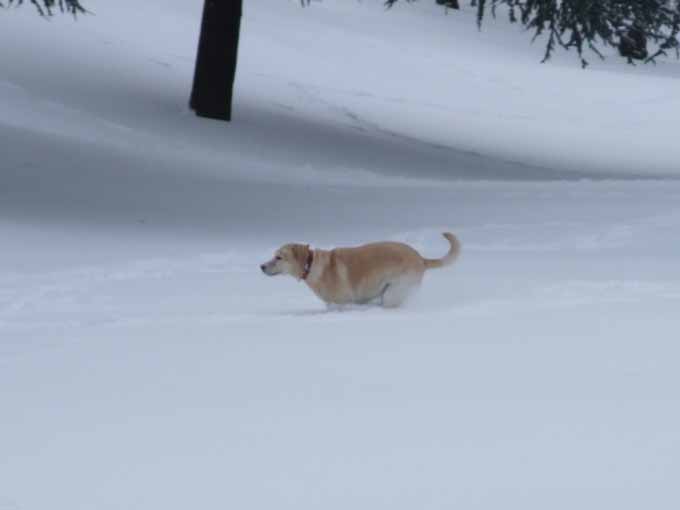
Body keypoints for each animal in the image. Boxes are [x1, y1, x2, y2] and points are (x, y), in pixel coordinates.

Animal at [260, 231, 462, 306]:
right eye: (274, 255)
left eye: (279, 257)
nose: (261, 266)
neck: (311, 265)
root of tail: (421, 258)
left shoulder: (341, 304)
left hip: (393, 293)